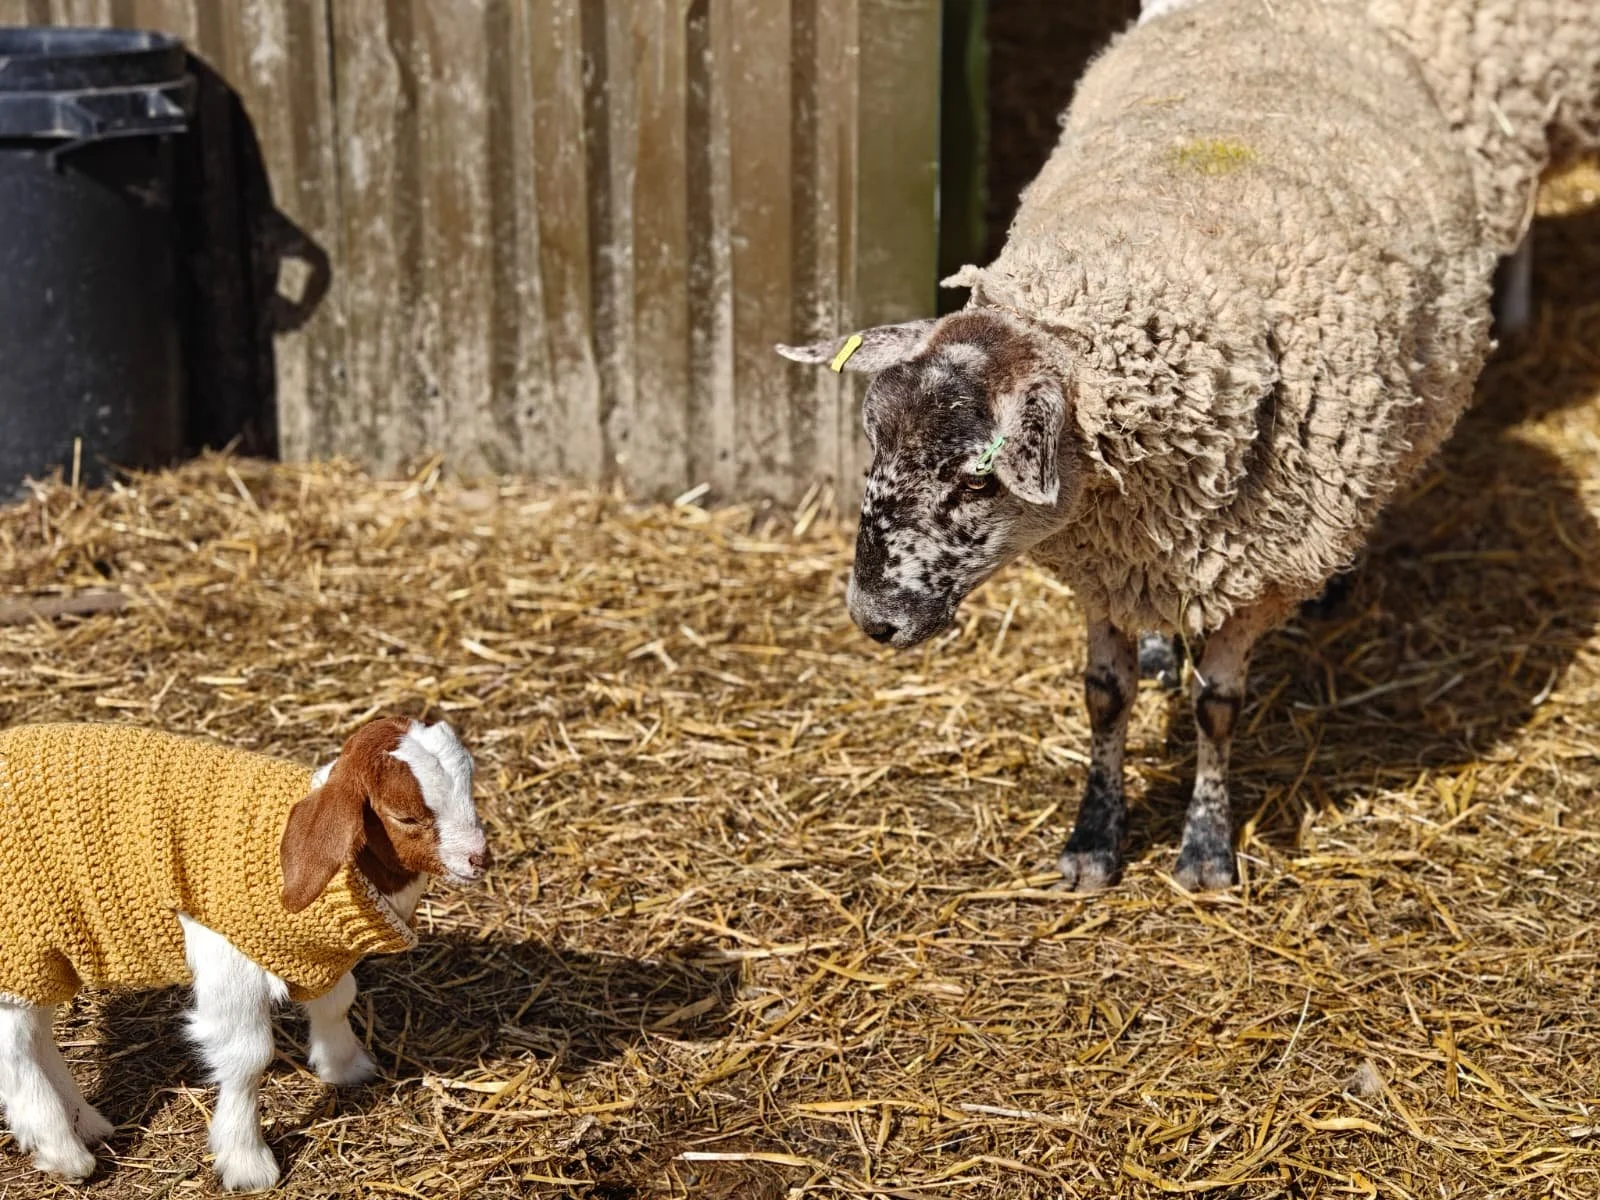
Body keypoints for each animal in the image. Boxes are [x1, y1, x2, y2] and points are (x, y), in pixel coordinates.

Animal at [0, 717, 489, 1190]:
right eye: (404, 816)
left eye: (470, 788)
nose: (479, 859)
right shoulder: (227, 954)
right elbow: (246, 1056)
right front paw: (246, 1161)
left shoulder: (314, 956)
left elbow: (336, 1002)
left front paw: (345, 1066)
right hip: (18, 943)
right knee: (16, 1049)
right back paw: (63, 1151)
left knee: (36, 1035)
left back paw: (84, 1125)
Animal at [776, 0, 1581, 891]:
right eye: (875, 445)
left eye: (979, 481)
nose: (871, 619)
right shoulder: (1103, 560)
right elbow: (1104, 695)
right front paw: (1094, 840)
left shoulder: (1255, 569)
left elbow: (1217, 709)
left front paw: (1205, 849)